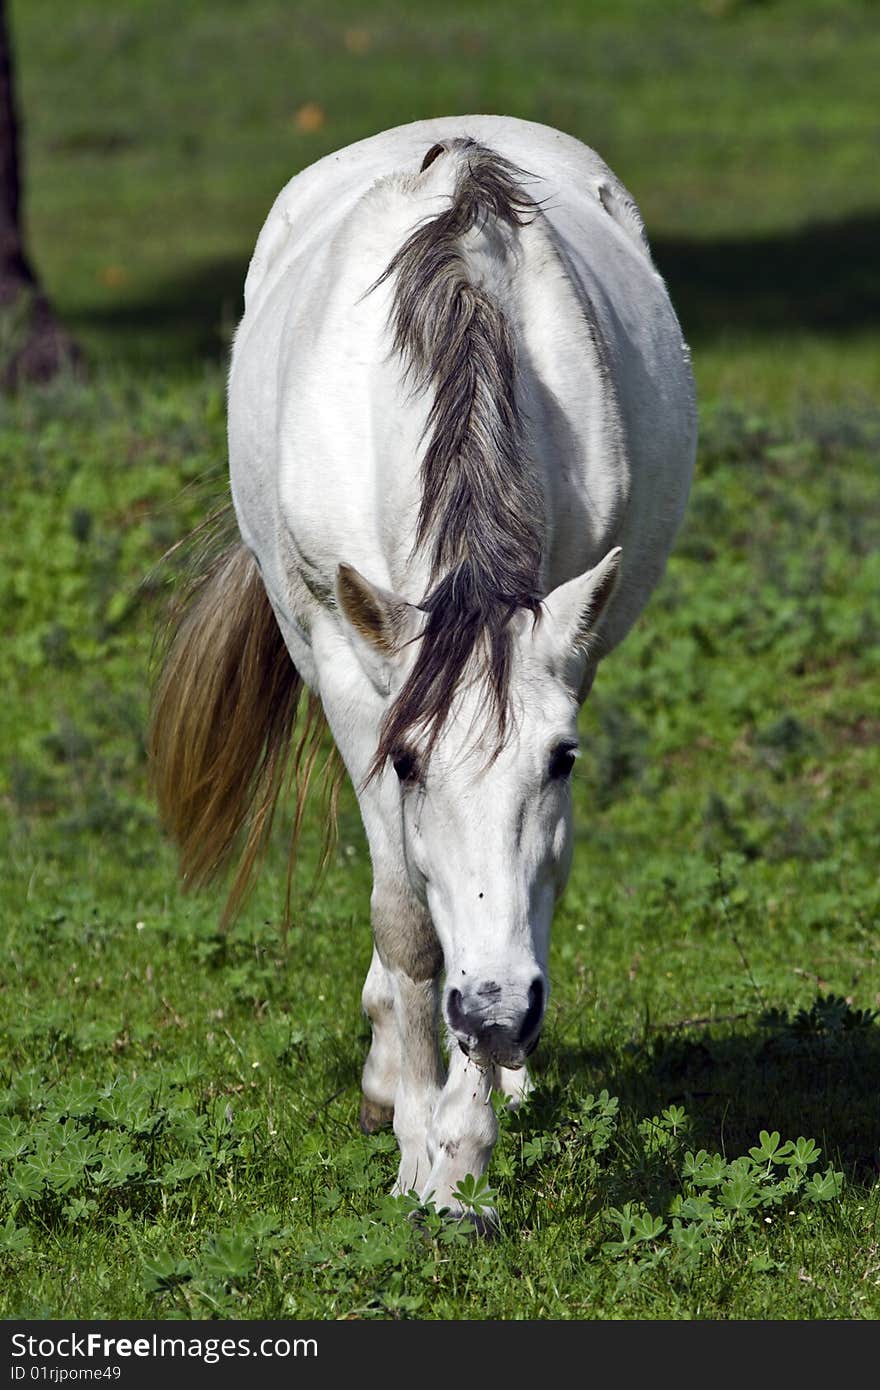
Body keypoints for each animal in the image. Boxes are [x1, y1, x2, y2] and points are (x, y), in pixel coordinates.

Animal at [154, 116, 697, 1217]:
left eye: (563, 760)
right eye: (407, 763)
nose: (493, 1014)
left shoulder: (571, 654)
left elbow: (534, 877)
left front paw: (464, 1151)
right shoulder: (355, 682)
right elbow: (406, 918)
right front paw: (413, 1138)